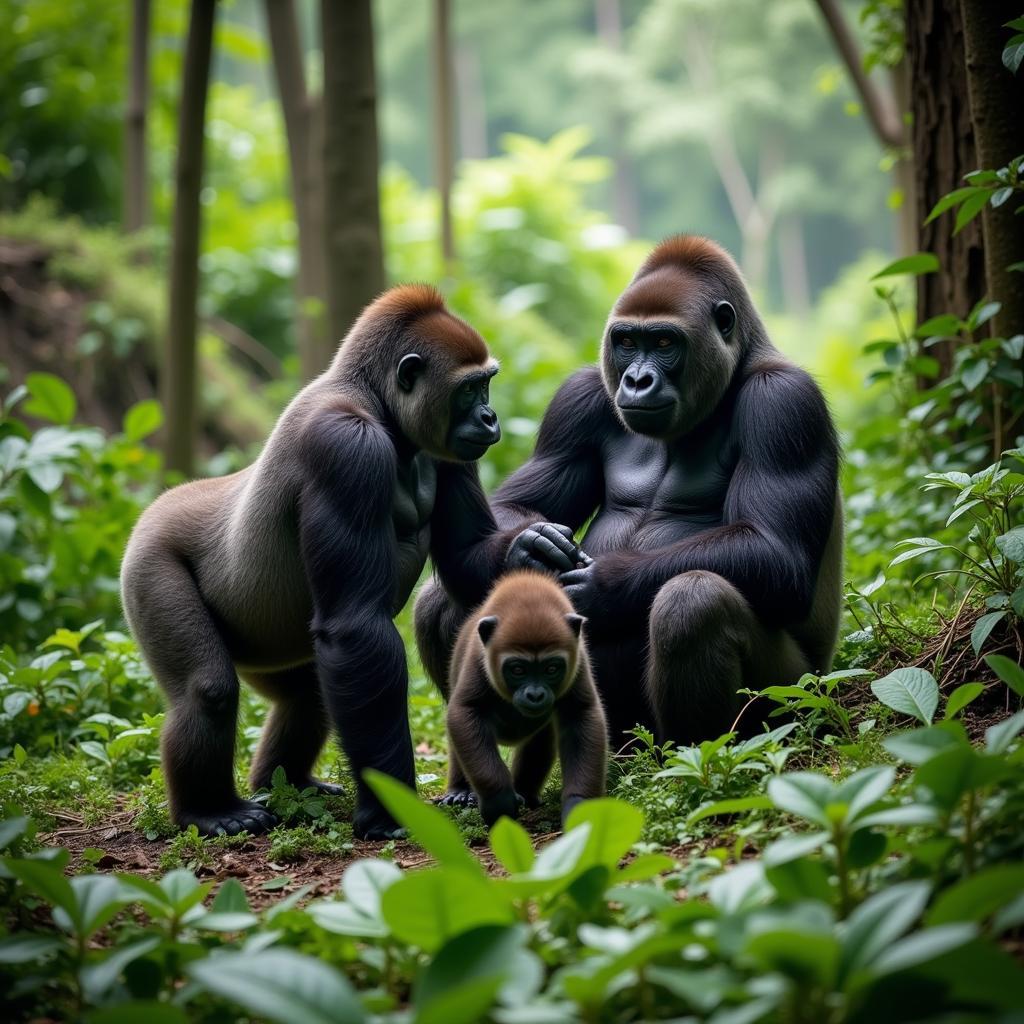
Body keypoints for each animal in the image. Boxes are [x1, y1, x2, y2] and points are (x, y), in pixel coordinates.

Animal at [122, 284, 503, 835]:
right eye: (471, 391)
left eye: (486, 384)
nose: (491, 418)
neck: (375, 401)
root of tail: (159, 504)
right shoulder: (345, 447)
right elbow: (355, 627)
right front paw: (387, 810)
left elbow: (463, 559)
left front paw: (534, 546)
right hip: (149, 558)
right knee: (206, 690)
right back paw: (208, 809)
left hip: (270, 647)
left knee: (307, 694)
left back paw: (287, 784)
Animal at [413, 234, 839, 770]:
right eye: (627, 342)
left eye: (664, 343)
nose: (636, 381)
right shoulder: (579, 396)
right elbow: (512, 510)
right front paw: (528, 547)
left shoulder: (784, 403)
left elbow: (776, 551)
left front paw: (605, 586)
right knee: (445, 598)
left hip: (803, 697)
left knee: (693, 603)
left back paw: (698, 760)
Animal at [442, 569, 602, 823]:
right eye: (518, 670)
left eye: (551, 669)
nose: (535, 695)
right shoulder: (478, 658)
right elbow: (465, 711)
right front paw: (498, 800)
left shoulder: (579, 662)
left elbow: (581, 715)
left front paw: (580, 808)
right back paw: (461, 791)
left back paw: (526, 793)